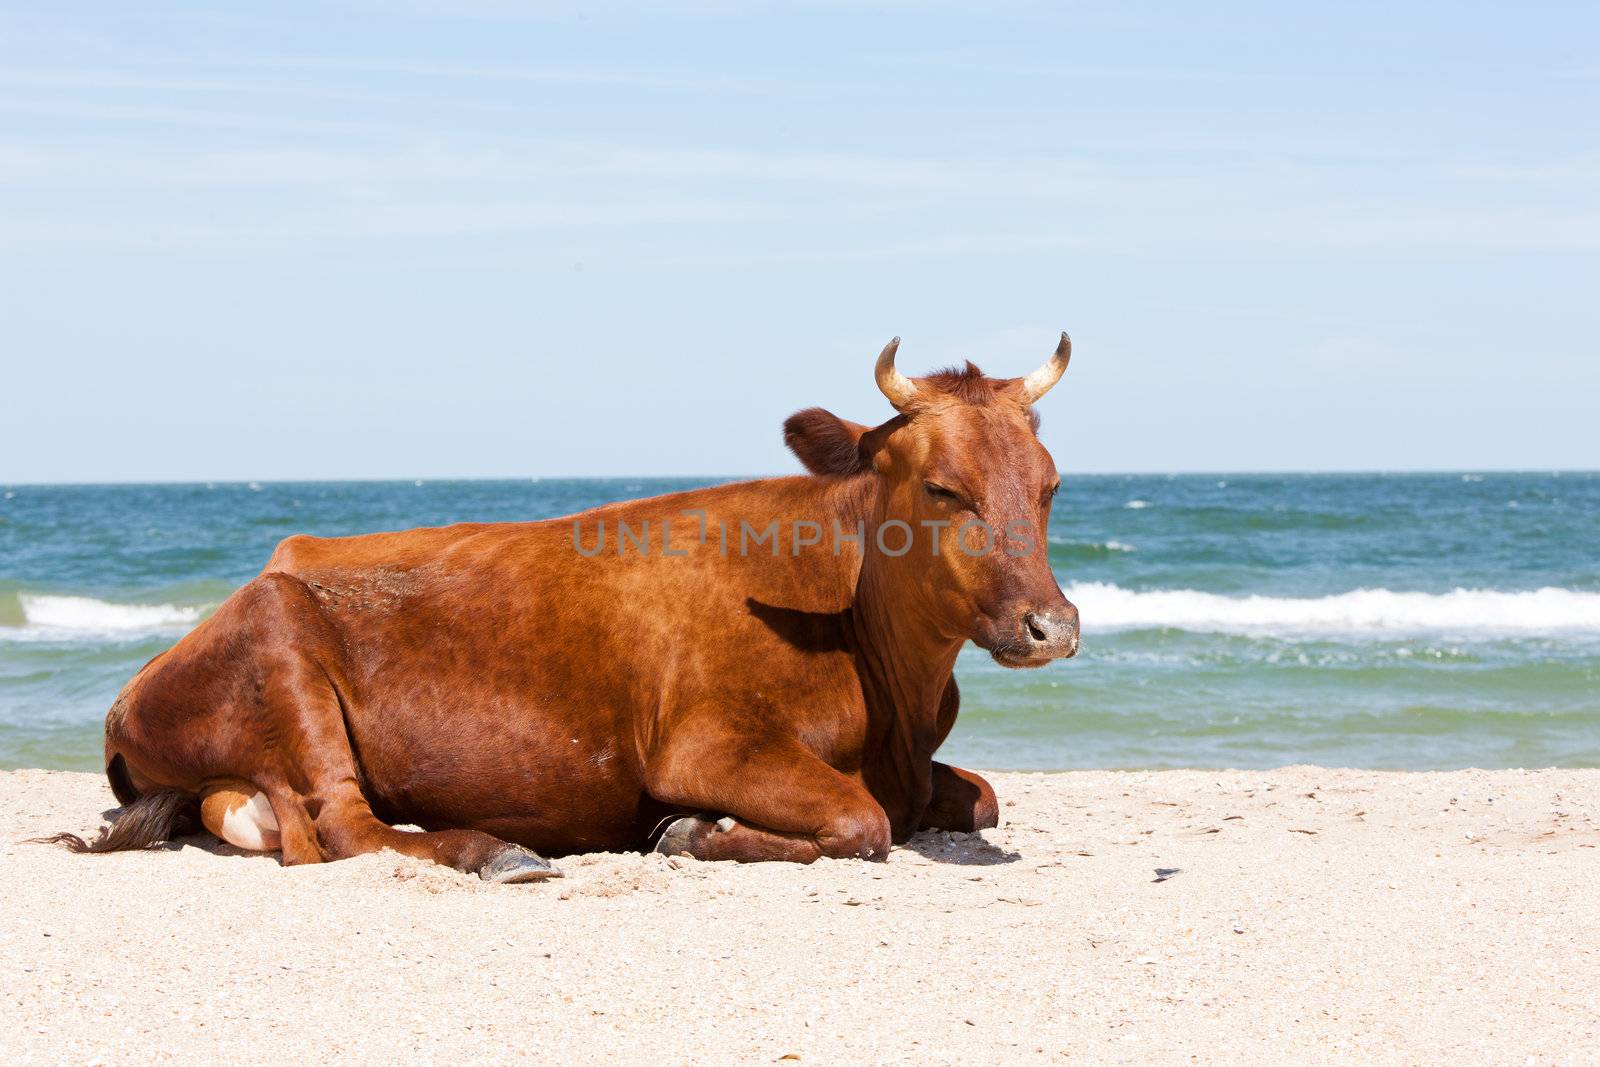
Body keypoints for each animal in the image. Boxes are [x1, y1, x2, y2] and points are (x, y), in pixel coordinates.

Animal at [43, 335, 1081, 883]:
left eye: (1051, 485)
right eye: (944, 489)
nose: (1053, 626)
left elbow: (980, 795)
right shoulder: (706, 744)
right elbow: (863, 822)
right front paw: (690, 830)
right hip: (280, 639)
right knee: (336, 827)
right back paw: (495, 850)